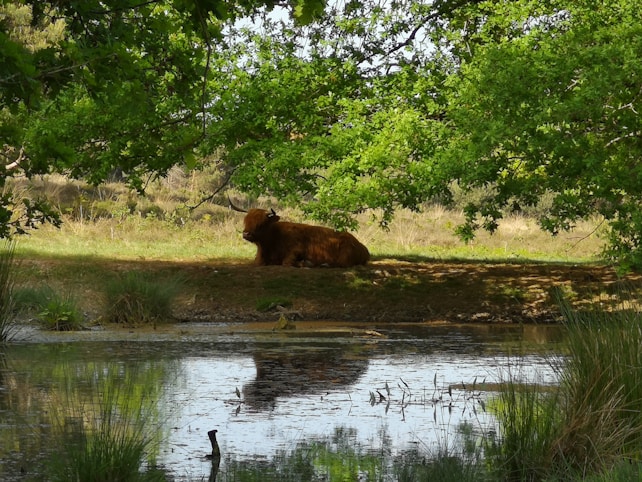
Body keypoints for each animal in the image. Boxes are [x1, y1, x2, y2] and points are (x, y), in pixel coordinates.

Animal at [231, 203, 370, 267]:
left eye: (261, 223)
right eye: (246, 221)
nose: (246, 234)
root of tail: (362, 247)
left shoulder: (296, 249)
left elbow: (286, 262)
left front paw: (303, 263)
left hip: (344, 256)